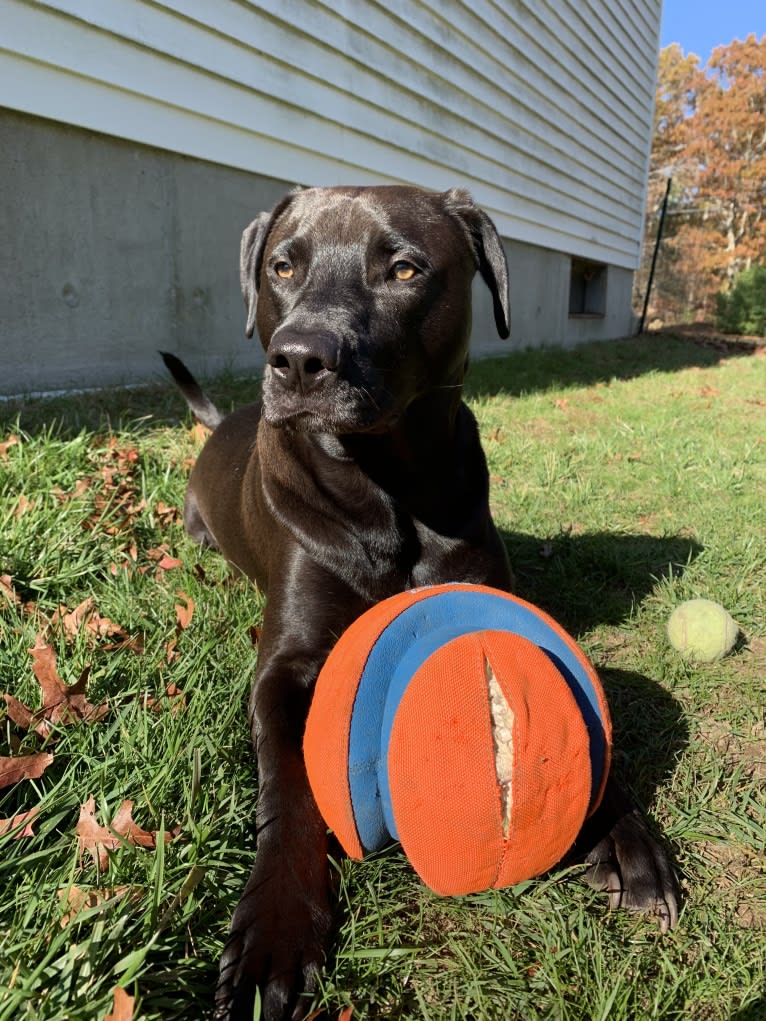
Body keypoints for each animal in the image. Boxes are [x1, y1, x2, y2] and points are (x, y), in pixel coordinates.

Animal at [162, 183, 678, 1021]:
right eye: (282, 266)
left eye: (404, 268)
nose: (298, 358)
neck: (388, 490)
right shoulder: (282, 667)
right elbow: (289, 786)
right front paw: (277, 926)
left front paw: (628, 837)